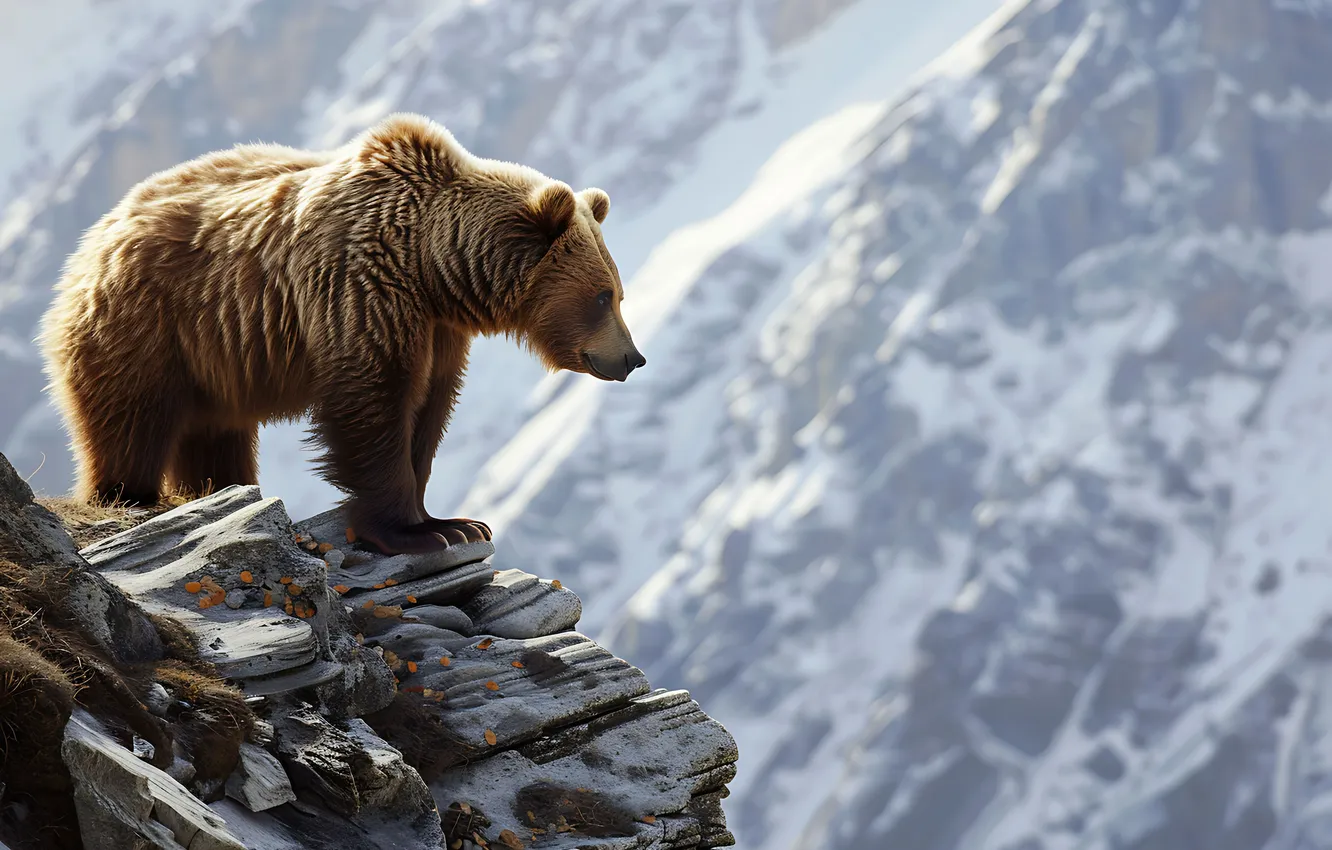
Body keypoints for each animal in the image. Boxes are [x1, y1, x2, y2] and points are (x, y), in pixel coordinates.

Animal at [37, 112, 646, 556]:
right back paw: (131, 496)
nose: (632, 357)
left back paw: (223, 490)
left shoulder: (438, 328)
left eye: (617, 292)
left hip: (214, 359)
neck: (431, 266)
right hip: (147, 325)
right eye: (602, 295)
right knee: (131, 419)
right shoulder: (361, 289)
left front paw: (451, 519)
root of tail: (91, 242)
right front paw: (423, 530)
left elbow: (429, 410)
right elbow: (373, 400)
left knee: (213, 435)